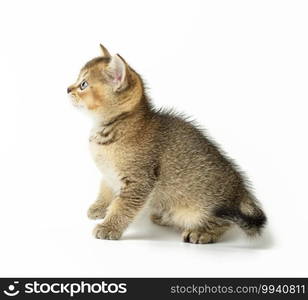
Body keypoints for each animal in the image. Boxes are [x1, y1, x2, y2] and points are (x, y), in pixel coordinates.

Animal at [68, 44, 268, 244]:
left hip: (207, 209)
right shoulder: (109, 174)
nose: (68, 89)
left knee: (224, 222)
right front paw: (99, 207)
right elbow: (106, 190)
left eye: (83, 84)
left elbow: (122, 207)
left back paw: (201, 232)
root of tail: (241, 193)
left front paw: (109, 227)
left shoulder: (139, 180)